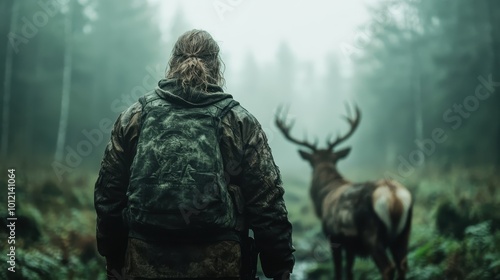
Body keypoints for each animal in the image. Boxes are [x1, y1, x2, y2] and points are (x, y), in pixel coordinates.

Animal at [276, 105, 412, 280]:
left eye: (311, 163)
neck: (323, 197)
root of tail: (394, 198)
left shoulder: (334, 237)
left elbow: (339, 270)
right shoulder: (350, 245)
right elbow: (349, 271)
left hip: (372, 234)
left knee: (388, 267)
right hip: (404, 233)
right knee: (403, 265)